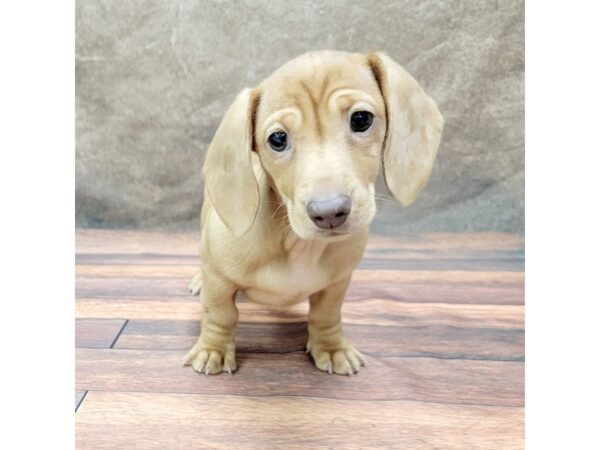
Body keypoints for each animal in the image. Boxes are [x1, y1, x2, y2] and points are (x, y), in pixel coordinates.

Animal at [182, 51, 440, 376]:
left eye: (361, 119)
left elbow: (326, 315)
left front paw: (331, 347)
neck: (299, 245)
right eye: (277, 139)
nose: (329, 213)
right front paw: (213, 349)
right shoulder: (220, 282)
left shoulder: (337, 284)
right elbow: (220, 314)